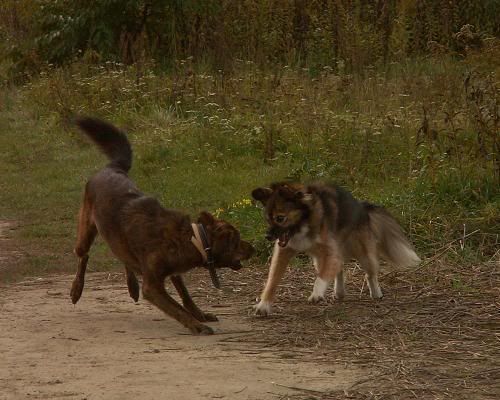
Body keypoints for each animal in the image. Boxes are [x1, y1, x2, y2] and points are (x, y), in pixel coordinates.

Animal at [70, 117, 254, 334]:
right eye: (237, 240)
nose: (254, 248)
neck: (192, 239)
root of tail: (113, 167)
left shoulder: (174, 272)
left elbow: (186, 297)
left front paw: (200, 315)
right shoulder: (153, 287)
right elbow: (176, 307)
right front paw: (196, 325)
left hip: (118, 239)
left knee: (124, 257)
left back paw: (132, 286)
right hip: (86, 232)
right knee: (84, 256)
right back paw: (76, 290)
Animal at [251, 182, 420, 316]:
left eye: (280, 218)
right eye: (267, 219)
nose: (267, 237)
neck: (304, 222)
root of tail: (362, 207)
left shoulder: (330, 252)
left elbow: (321, 277)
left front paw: (316, 293)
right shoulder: (283, 253)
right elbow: (272, 281)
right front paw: (264, 304)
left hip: (363, 254)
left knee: (369, 274)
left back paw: (376, 293)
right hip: (319, 259)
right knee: (339, 268)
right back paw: (339, 292)